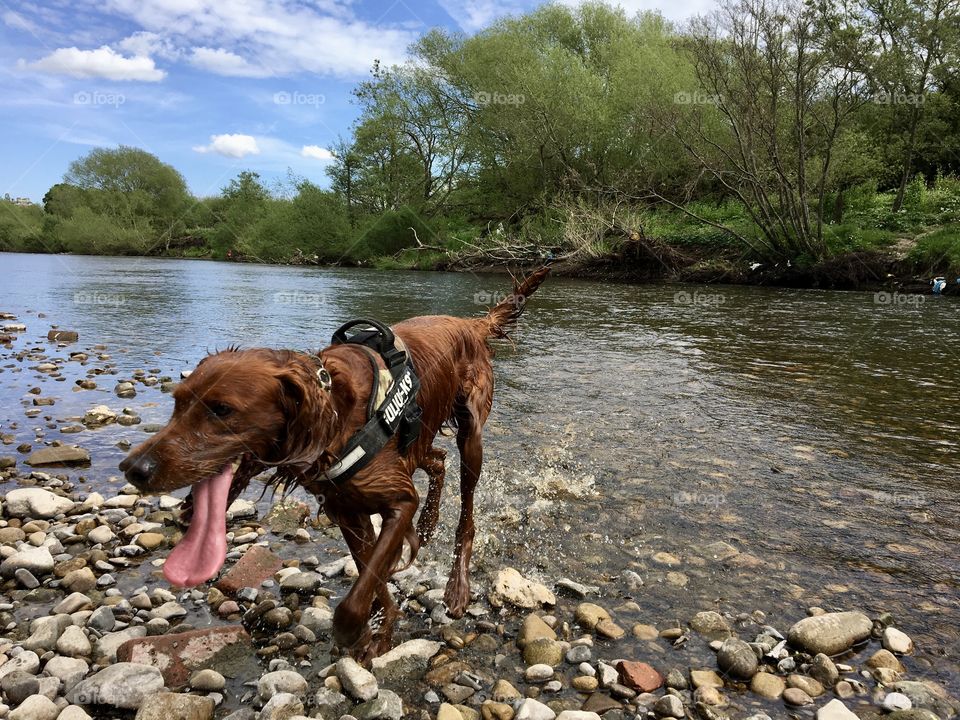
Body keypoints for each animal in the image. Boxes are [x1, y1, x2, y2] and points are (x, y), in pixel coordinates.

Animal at [122, 268, 548, 660]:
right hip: (419, 440)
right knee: (438, 462)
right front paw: (382, 629)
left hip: (471, 434)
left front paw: (355, 633)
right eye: (177, 402)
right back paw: (427, 525)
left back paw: (457, 586)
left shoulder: (398, 501)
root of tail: (471, 324)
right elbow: (371, 575)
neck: (336, 415)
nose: (133, 469)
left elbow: (358, 594)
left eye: (222, 410)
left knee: (467, 511)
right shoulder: (347, 510)